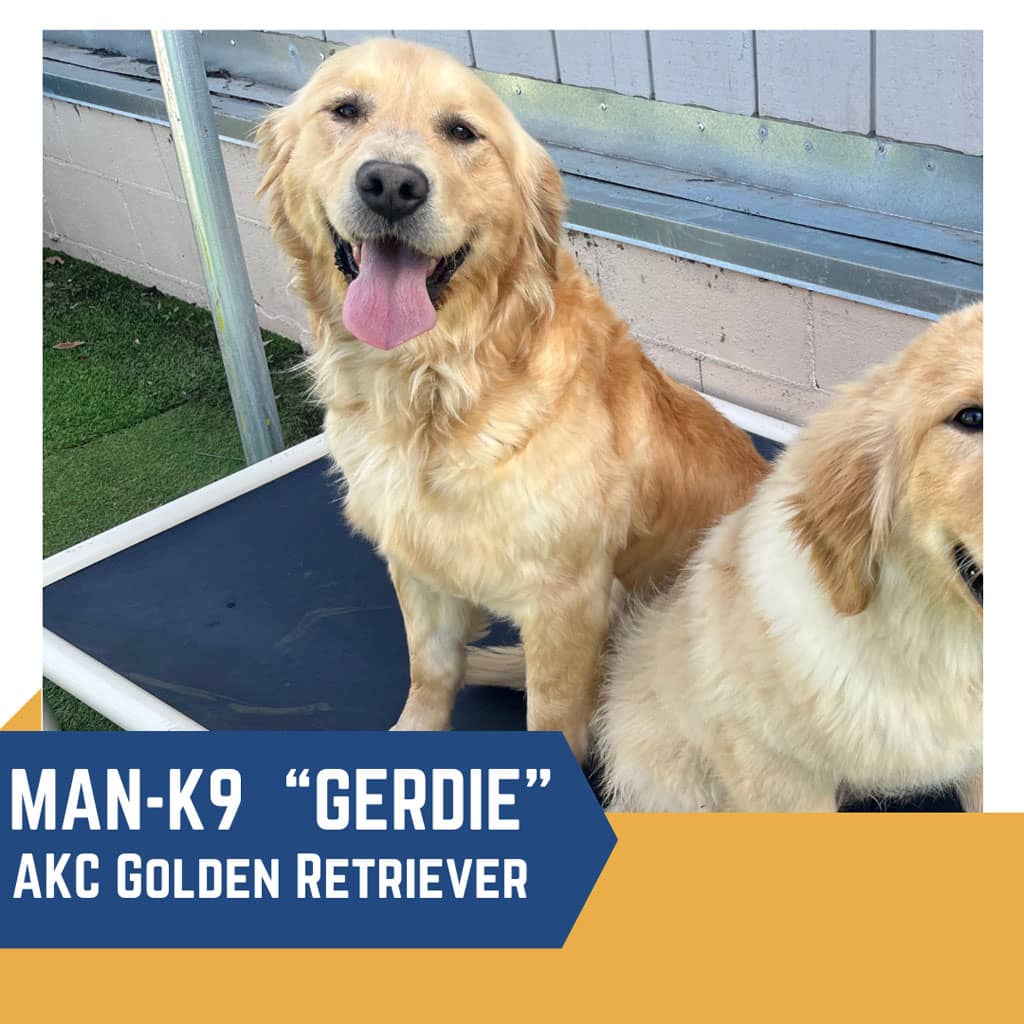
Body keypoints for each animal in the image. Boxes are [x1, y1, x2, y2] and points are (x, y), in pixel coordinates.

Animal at [256, 39, 770, 757]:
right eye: (345, 110)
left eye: (462, 131)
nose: (392, 185)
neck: (435, 386)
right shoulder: (417, 569)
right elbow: (430, 670)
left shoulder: (568, 599)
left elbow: (550, 713)